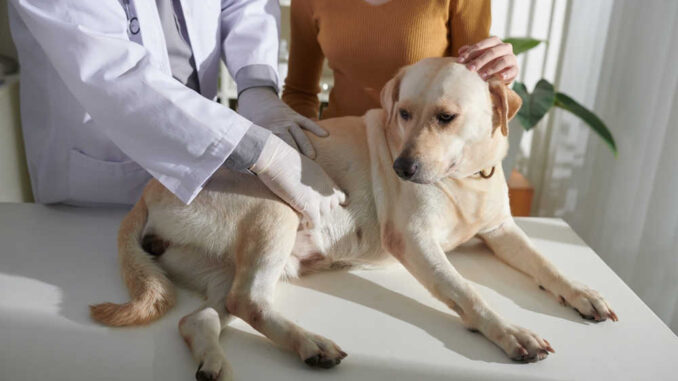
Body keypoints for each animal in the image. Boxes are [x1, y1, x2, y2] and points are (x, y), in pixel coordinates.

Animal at [93, 58, 620, 378]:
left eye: (446, 117)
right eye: (403, 113)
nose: (402, 168)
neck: (465, 178)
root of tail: (150, 190)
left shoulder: (502, 231)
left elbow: (547, 265)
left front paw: (583, 294)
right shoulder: (415, 241)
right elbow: (468, 293)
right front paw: (510, 332)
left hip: (225, 269)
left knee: (198, 318)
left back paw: (216, 359)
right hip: (275, 209)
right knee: (249, 301)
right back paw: (311, 343)